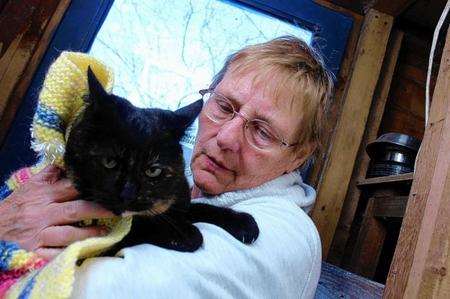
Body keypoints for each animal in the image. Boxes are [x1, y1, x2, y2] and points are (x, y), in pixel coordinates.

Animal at [64, 68, 258, 253]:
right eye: (110, 162)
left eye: (153, 170)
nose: (127, 194)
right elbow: (141, 227)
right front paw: (185, 234)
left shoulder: (180, 204)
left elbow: (201, 207)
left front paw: (243, 223)